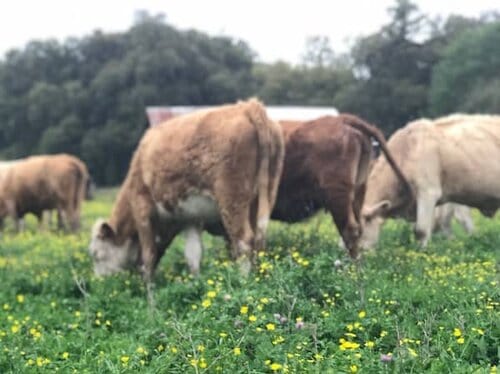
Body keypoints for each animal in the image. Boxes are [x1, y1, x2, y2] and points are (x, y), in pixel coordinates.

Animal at [89, 99, 286, 284]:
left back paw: (244, 282)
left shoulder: (142, 209)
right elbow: (193, 256)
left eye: (96, 254)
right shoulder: (191, 219)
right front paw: (196, 284)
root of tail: (248, 107)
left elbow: (148, 259)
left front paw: (150, 295)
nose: (99, 283)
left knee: (243, 241)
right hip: (263, 197)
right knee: (259, 241)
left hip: (232, 199)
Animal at [360, 114, 500, 248]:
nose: (355, 254)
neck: (408, 150)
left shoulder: (428, 193)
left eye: (358, 230)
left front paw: (423, 252)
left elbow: (421, 230)